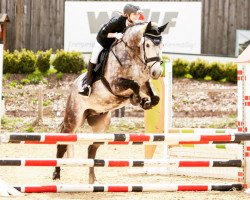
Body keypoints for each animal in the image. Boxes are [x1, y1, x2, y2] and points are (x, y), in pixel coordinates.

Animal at [51, 21, 167, 184]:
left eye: (162, 44)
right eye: (148, 44)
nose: (157, 72)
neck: (133, 56)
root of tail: (73, 87)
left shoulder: (144, 82)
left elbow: (153, 96)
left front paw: (145, 102)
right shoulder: (115, 84)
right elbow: (134, 85)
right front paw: (138, 99)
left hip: (101, 124)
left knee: (92, 149)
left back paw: (93, 179)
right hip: (73, 119)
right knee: (62, 143)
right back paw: (56, 175)